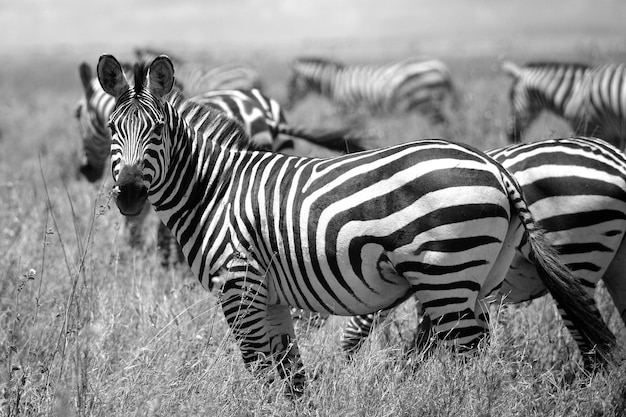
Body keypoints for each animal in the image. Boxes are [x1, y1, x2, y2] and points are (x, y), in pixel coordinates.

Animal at [284, 54, 454, 122]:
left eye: (290, 84)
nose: (287, 106)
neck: (335, 82)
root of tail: (440, 66)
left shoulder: (348, 109)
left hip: (426, 103)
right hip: (429, 105)